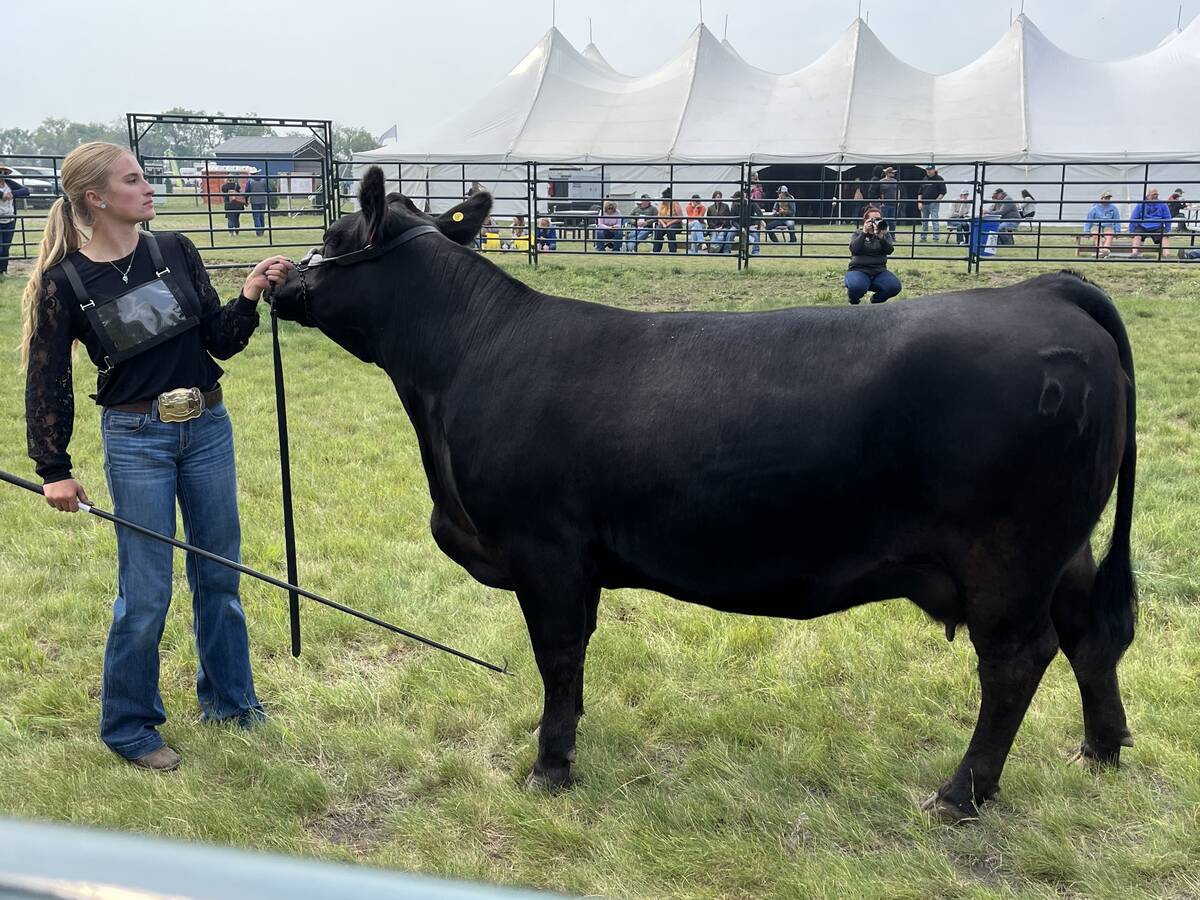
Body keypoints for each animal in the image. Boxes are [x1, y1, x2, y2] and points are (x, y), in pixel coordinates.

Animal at [268, 167, 1137, 822]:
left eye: (336, 240)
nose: (275, 280)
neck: (462, 360)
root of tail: (1046, 289)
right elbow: (572, 661)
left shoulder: (544, 549)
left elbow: (557, 656)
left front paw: (550, 766)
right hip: (1063, 546)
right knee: (1090, 632)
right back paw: (1100, 749)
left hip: (1007, 554)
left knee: (1016, 663)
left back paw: (961, 794)